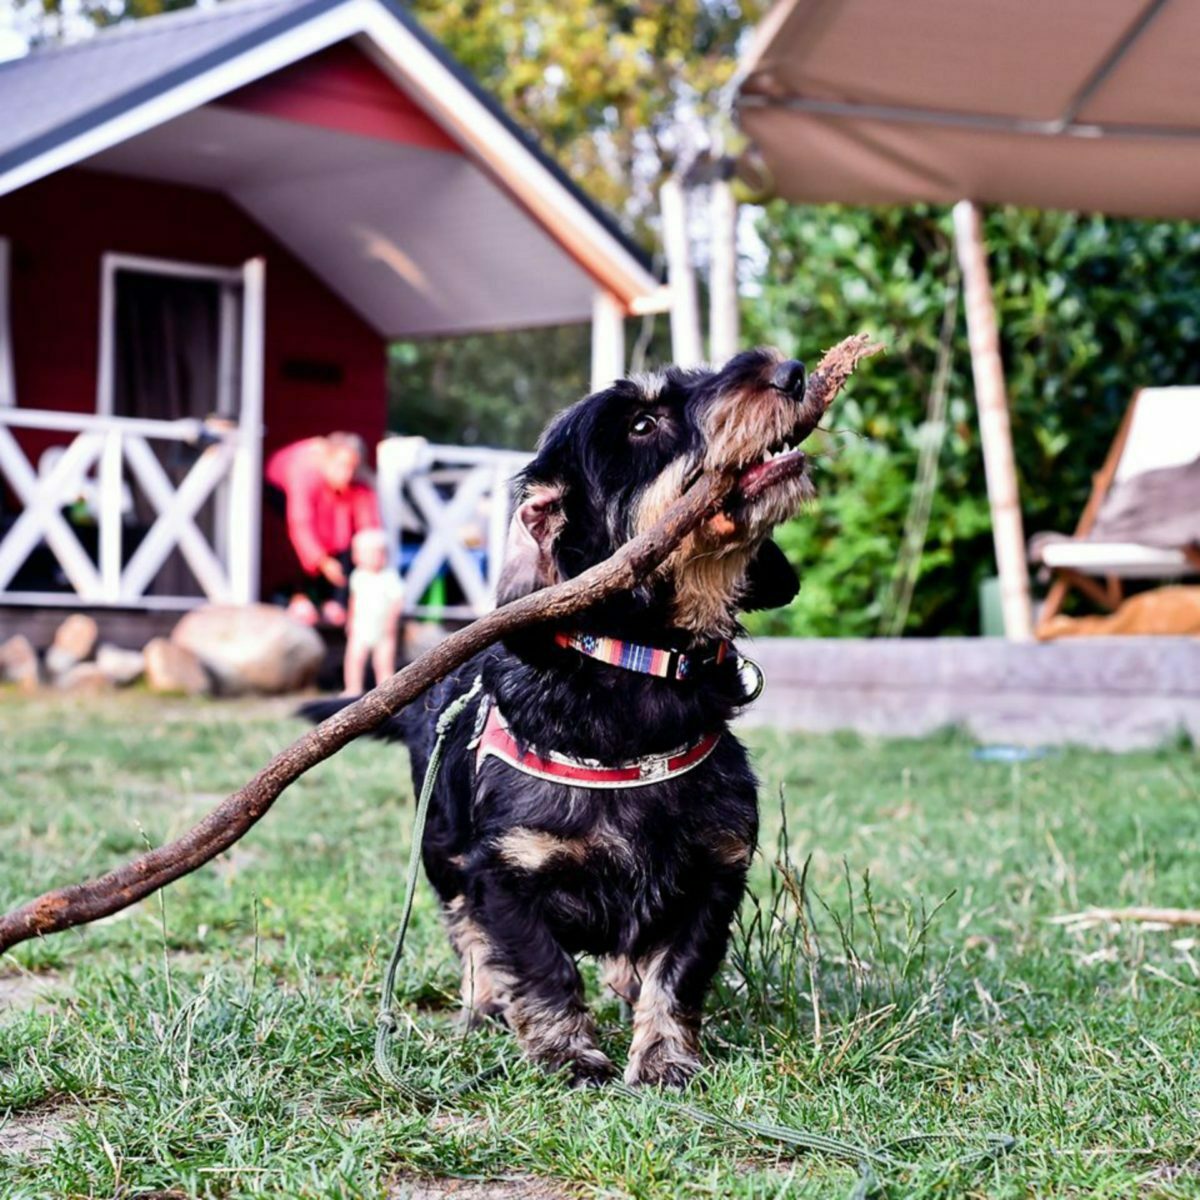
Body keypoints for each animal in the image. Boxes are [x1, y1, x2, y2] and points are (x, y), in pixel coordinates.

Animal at [304, 348, 820, 1089]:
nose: (792, 370)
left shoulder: (712, 871)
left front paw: (665, 1058)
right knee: (467, 935)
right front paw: (567, 1054)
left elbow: (676, 974)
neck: (637, 670)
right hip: (441, 851)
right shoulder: (503, 872)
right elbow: (540, 968)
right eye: (641, 423)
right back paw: (485, 1006)